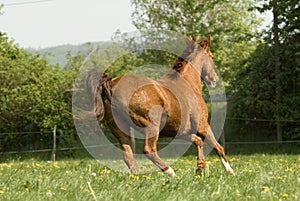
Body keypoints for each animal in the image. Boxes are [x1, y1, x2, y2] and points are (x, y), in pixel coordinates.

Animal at [85, 36, 233, 176]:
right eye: (211, 56)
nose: (214, 79)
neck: (188, 82)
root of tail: (111, 83)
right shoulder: (203, 126)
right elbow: (217, 146)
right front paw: (230, 171)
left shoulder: (181, 131)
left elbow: (198, 141)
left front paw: (200, 168)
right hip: (151, 126)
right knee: (149, 150)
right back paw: (170, 172)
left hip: (121, 130)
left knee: (128, 156)